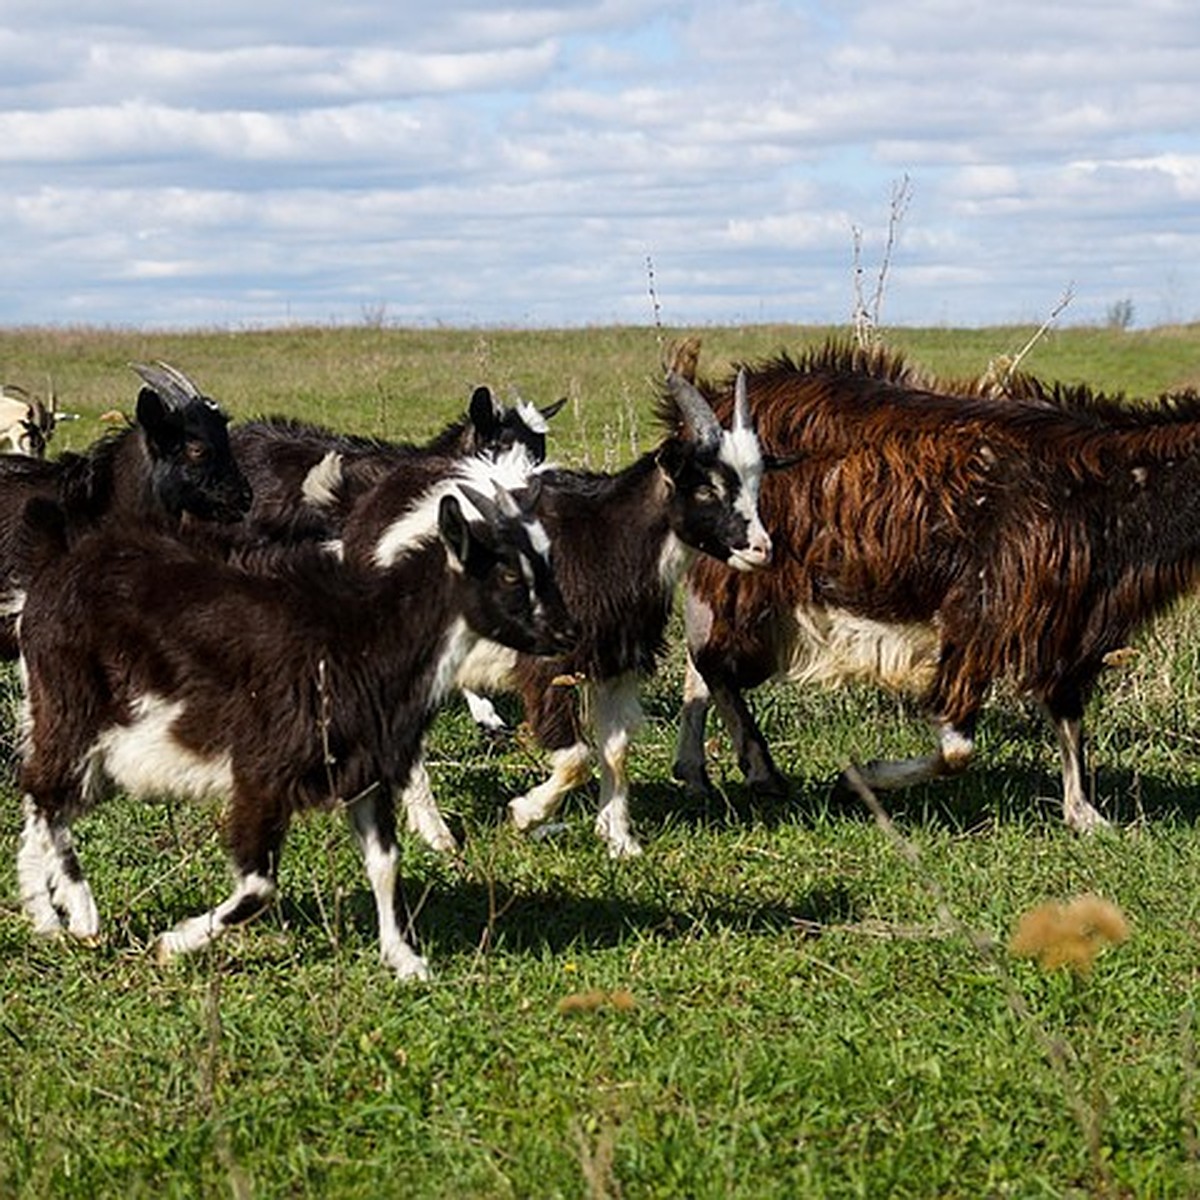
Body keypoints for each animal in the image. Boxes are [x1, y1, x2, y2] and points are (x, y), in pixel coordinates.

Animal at [14, 446, 576, 979]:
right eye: (508, 571)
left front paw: (404, 960)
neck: (368, 638)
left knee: (46, 800)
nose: (567, 634)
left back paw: (45, 915)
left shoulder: (363, 773)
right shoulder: (261, 773)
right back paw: (81, 913)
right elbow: (258, 886)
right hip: (70, 711)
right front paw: (173, 944)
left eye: (547, 559)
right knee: (43, 792)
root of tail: (53, 568)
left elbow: (385, 862)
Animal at [338, 369, 772, 859]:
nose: (762, 549)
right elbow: (576, 758)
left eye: (755, 482)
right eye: (705, 487)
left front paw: (619, 840)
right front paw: (526, 815)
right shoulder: (547, 669)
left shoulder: (616, 666)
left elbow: (615, 751)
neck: (609, 542)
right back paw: (436, 833)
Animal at [672, 336, 1200, 825]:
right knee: (711, 656)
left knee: (704, 655)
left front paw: (1083, 815)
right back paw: (755, 770)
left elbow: (1067, 717)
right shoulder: (982, 612)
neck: (1107, 489)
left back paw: (695, 772)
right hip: (745, 565)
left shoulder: (1067, 626)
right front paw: (854, 779)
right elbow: (957, 749)